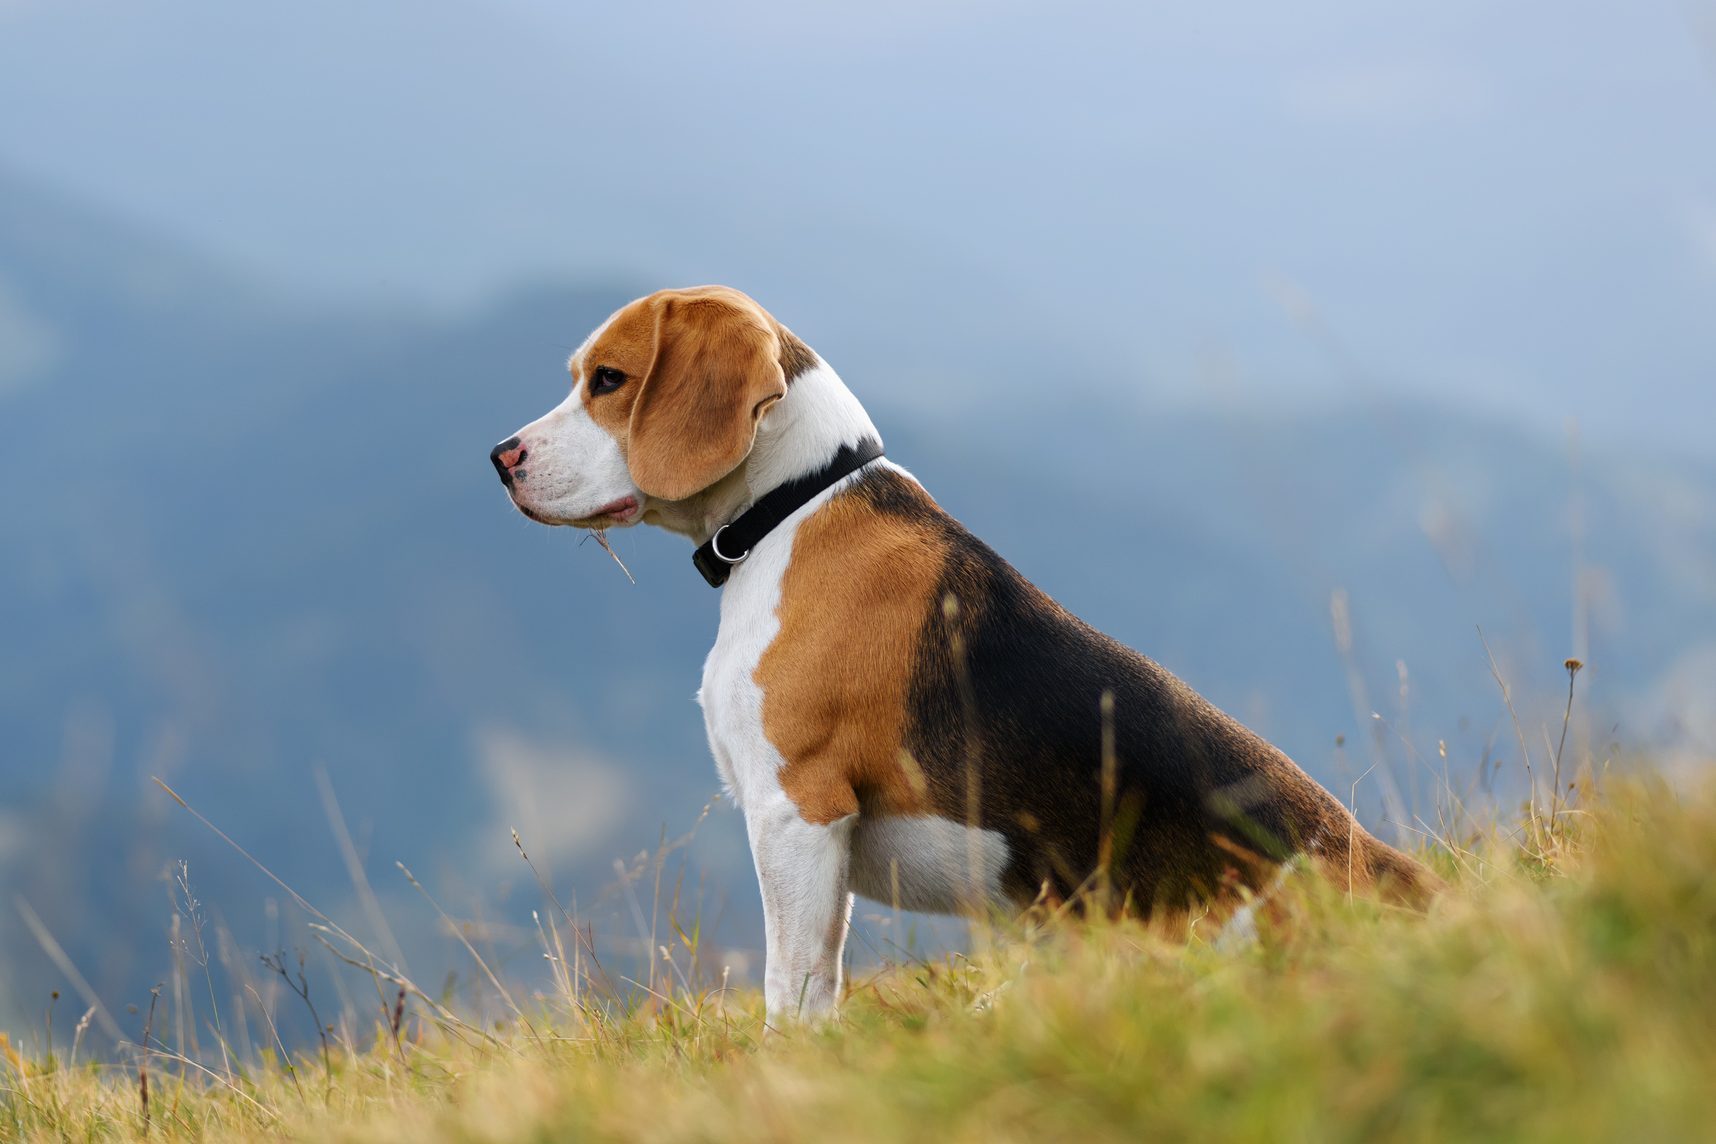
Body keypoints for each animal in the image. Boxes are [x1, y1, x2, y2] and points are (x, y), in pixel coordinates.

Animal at [490, 284, 1441, 1022]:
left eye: (609, 380)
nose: (501, 456)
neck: (793, 507)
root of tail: (1383, 866)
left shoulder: (799, 809)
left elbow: (791, 989)